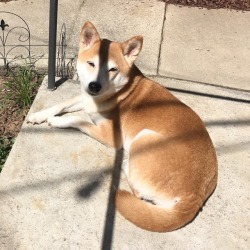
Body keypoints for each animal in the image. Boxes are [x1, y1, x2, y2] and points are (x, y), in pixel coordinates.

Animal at [28, 21, 218, 232]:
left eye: (112, 69)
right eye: (91, 64)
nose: (94, 86)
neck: (120, 92)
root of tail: (195, 196)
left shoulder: (110, 136)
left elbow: (78, 120)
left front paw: (57, 121)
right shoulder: (85, 99)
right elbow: (62, 104)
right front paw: (39, 115)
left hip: (144, 137)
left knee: (138, 192)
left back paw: (125, 164)